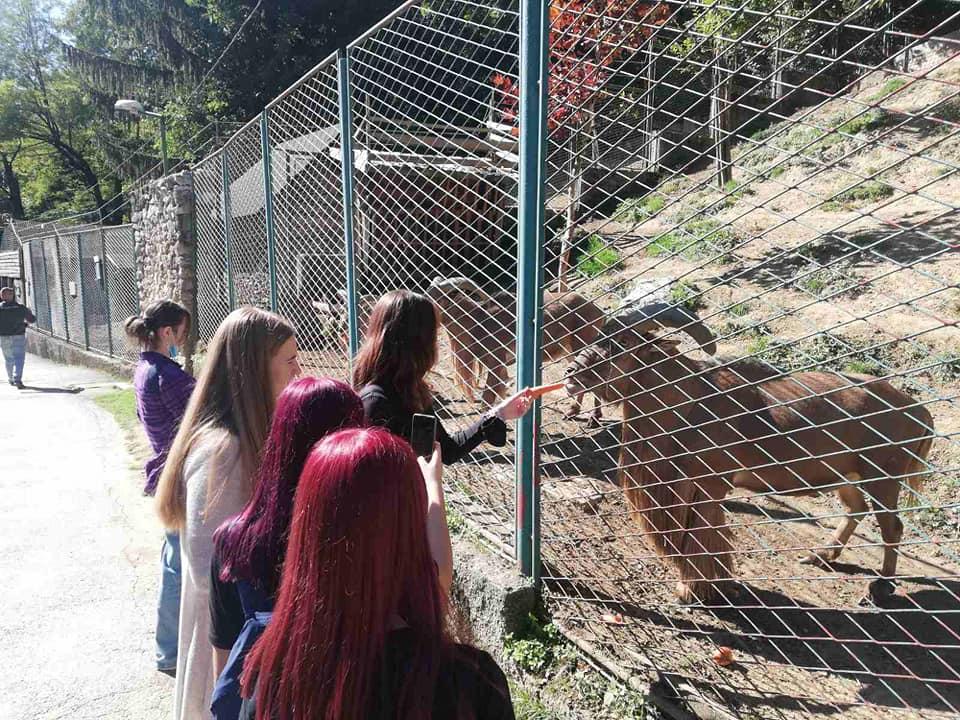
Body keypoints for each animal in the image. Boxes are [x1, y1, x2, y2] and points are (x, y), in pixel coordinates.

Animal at [430, 276, 604, 422]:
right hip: (569, 352)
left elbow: (487, 398)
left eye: (437, 299)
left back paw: (593, 417)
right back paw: (573, 412)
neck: (479, 322)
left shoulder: (496, 363)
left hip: (581, 346)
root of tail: (599, 311)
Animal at [568, 306, 932, 604]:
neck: (688, 402)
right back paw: (820, 555)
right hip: (848, 476)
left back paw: (881, 585)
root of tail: (919, 411)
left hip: (883, 477)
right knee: (855, 510)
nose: (572, 374)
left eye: (622, 342)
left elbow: (702, 533)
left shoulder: (707, 486)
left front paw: (695, 590)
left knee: (892, 526)